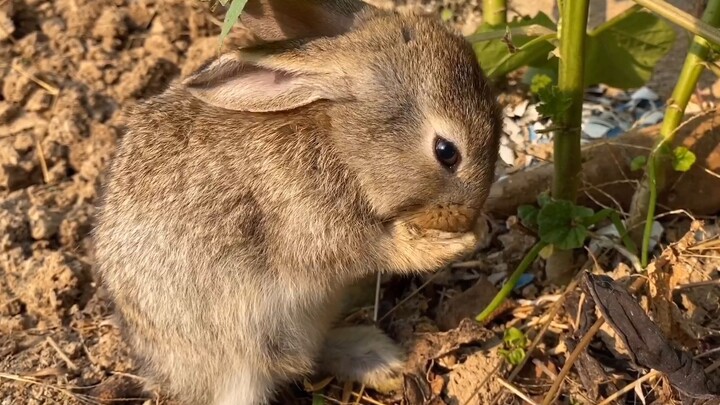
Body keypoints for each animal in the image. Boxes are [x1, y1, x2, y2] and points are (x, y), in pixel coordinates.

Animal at [92, 0, 502, 404]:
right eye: (446, 152)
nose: (466, 215)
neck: (340, 140)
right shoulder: (313, 225)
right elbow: (381, 249)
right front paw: (455, 242)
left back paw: (379, 359)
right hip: (240, 355)